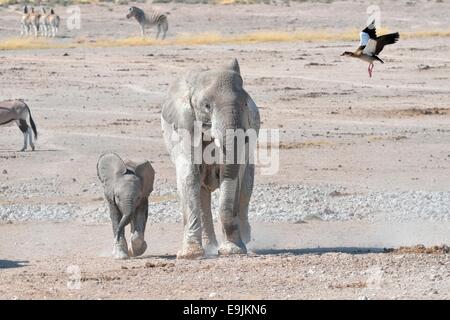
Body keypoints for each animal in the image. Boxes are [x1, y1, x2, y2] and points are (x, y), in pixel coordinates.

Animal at [162, 58, 260, 258]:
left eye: (245, 104)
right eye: (206, 106)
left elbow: (232, 176)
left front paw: (232, 250)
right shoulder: (183, 126)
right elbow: (189, 176)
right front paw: (190, 254)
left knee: (246, 186)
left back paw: (245, 239)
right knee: (201, 191)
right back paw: (210, 247)